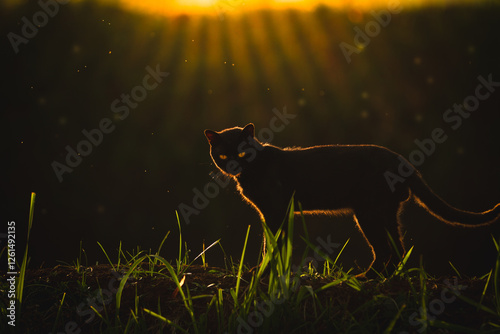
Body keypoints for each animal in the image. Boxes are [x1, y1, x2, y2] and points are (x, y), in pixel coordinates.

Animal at [204, 124, 500, 272]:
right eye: (223, 155)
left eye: (242, 153)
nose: (233, 165)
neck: (251, 171)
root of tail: (402, 160)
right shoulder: (272, 213)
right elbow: (275, 242)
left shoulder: (275, 211)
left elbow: (273, 242)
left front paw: (265, 271)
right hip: (385, 214)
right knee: (397, 249)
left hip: (368, 214)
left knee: (386, 250)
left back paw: (366, 279)